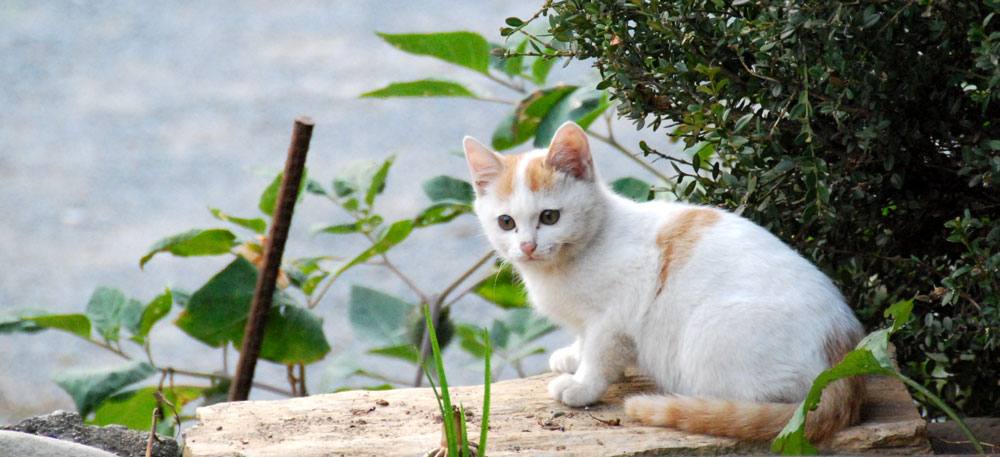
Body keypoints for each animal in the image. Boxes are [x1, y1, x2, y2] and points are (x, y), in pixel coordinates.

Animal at [464, 121, 864, 442]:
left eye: (550, 217)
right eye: (506, 223)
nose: (528, 246)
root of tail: (842, 356)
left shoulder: (615, 315)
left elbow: (601, 355)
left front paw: (582, 385)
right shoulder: (588, 318)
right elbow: (584, 338)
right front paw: (573, 356)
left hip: (709, 330)